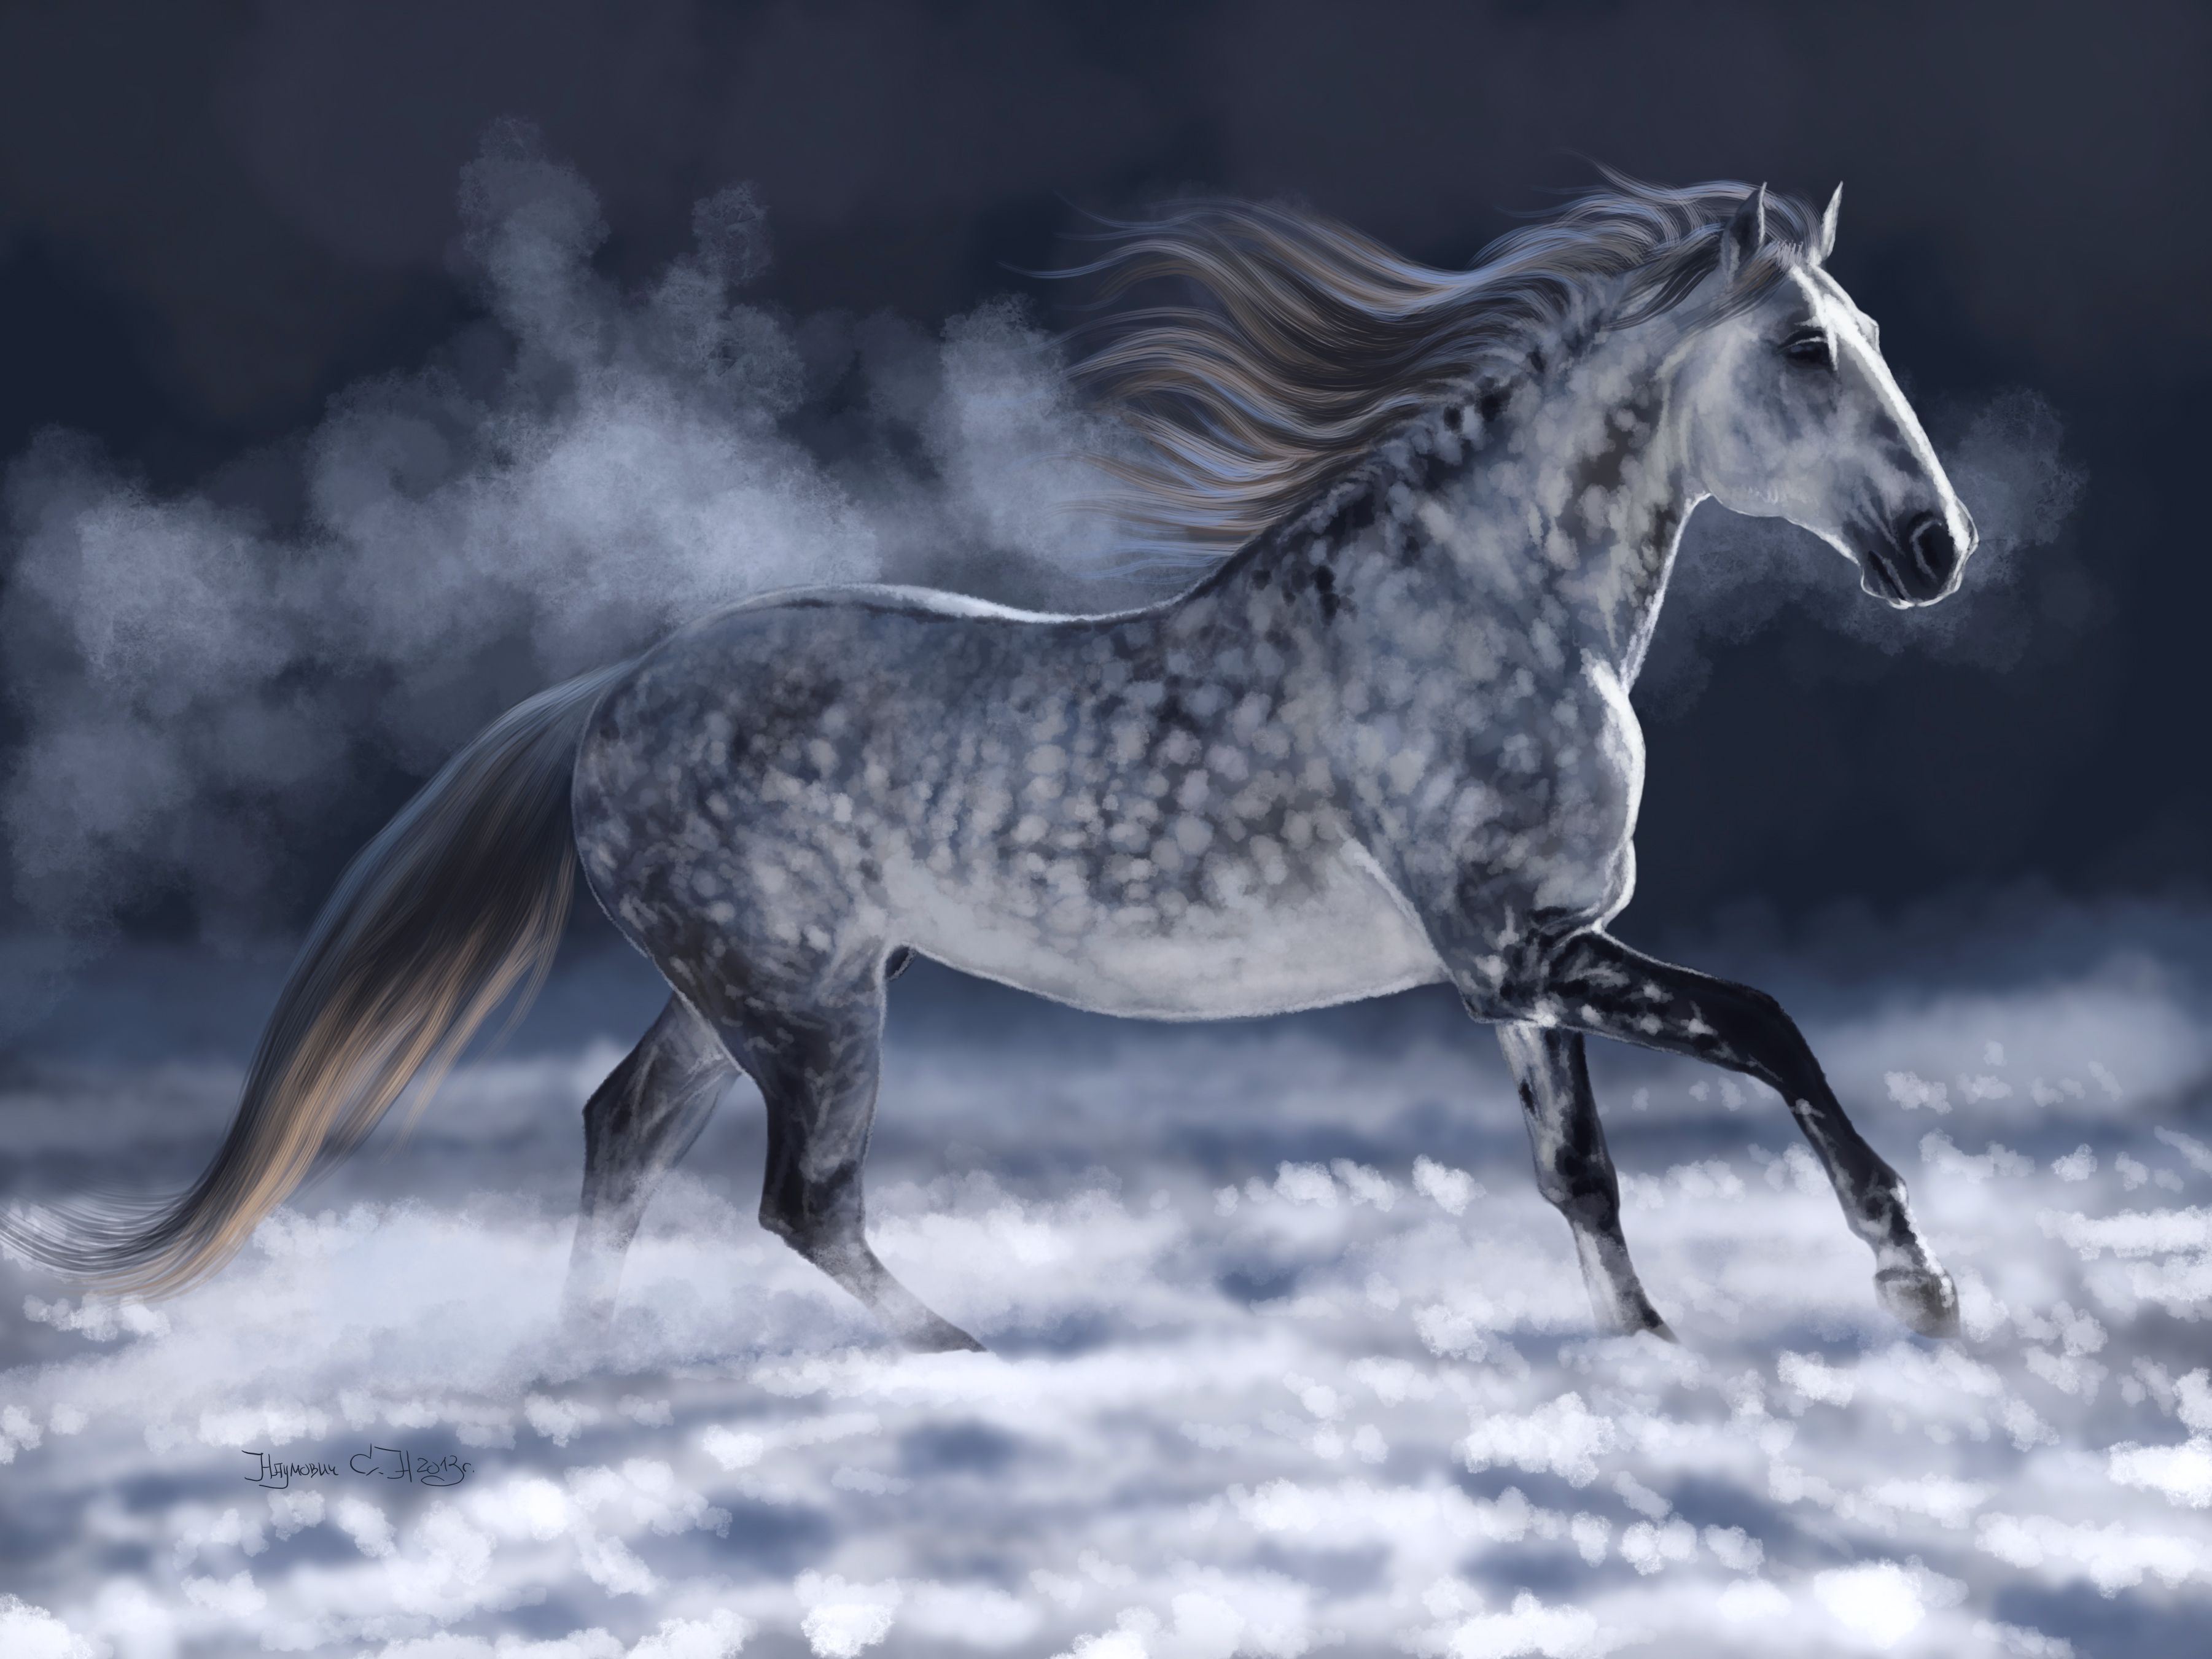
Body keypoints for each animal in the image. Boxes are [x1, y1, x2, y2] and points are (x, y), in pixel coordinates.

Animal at [3, 176, 1979, 1354]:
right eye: (1809, 345)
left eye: (1875, 336)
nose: (1934, 548)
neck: (1487, 601)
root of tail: (615, 683)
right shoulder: (1513, 946)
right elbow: (1765, 1025)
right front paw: (1915, 1281)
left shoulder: (1516, 968)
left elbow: (1582, 1177)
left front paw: (1649, 1356)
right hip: (811, 1005)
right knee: (801, 1200)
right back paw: (969, 1362)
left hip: (754, 995)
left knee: (623, 1135)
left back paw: (583, 1373)